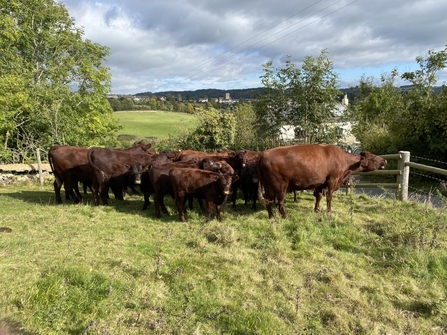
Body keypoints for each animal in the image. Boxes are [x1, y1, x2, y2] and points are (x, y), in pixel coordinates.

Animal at [258, 144, 386, 218]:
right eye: (374, 157)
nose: (385, 160)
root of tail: (263, 153)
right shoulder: (332, 181)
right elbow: (329, 197)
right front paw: (329, 211)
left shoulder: (319, 183)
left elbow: (319, 196)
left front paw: (317, 209)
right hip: (280, 186)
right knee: (279, 202)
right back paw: (285, 216)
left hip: (268, 186)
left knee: (268, 201)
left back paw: (271, 216)